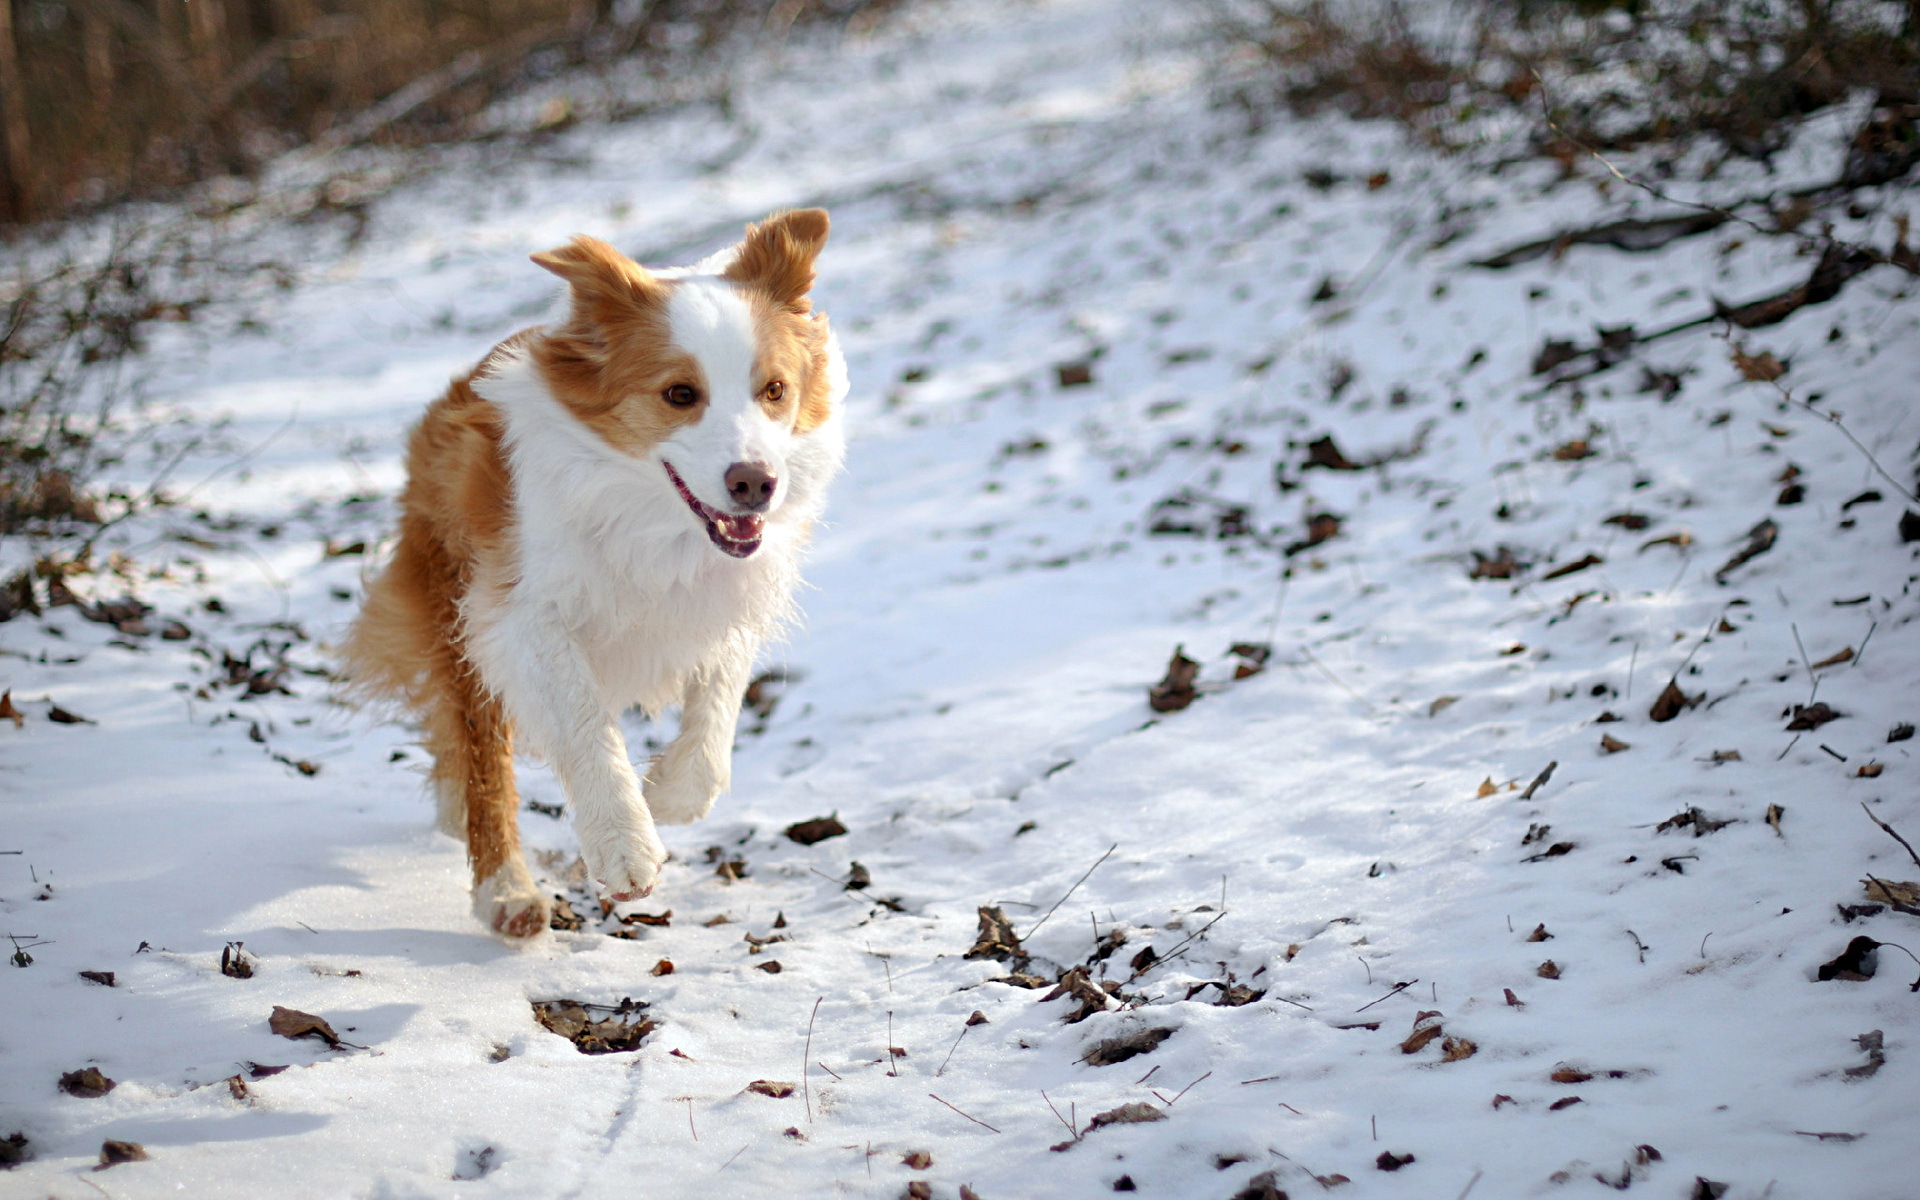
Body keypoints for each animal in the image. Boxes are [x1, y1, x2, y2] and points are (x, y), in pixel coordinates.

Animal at [343, 210, 848, 933]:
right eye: (679, 394)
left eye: (774, 391)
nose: (755, 484)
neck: (649, 517)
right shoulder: (518, 614)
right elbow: (583, 721)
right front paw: (624, 845)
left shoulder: (728, 595)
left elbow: (718, 706)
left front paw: (669, 796)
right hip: (455, 612)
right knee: (483, 762)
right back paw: (507, 892)